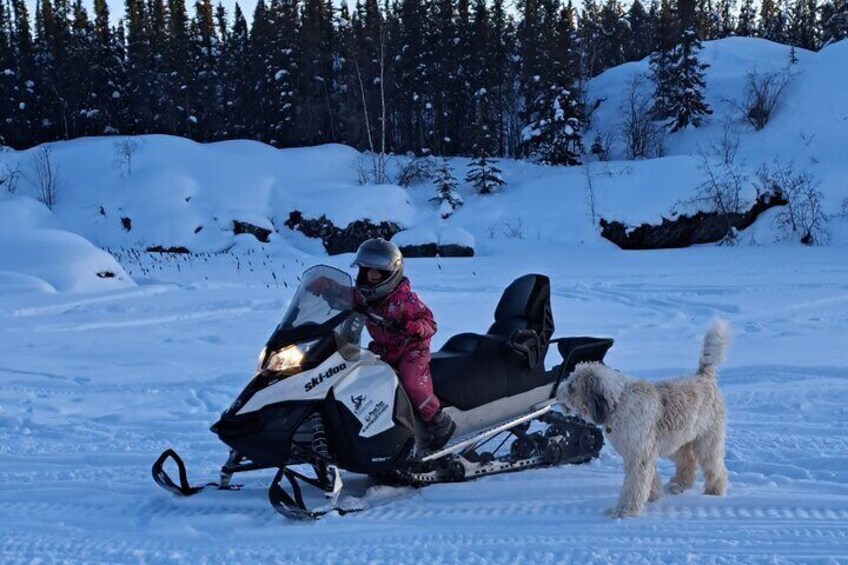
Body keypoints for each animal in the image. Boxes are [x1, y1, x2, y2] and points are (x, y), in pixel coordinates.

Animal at [556, 320, 728, 516]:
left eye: (571, 386)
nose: (557, 393)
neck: (618, 403)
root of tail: (703, 376)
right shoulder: (636, 452)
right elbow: (647, 481)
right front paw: (654, 496)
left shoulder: (639, 454)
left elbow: (634, 486)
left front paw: (624, 511)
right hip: (678, 441)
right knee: (688, 462)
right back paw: (678, 485)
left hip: (707, 441)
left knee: (715, 468)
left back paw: (714, 492)